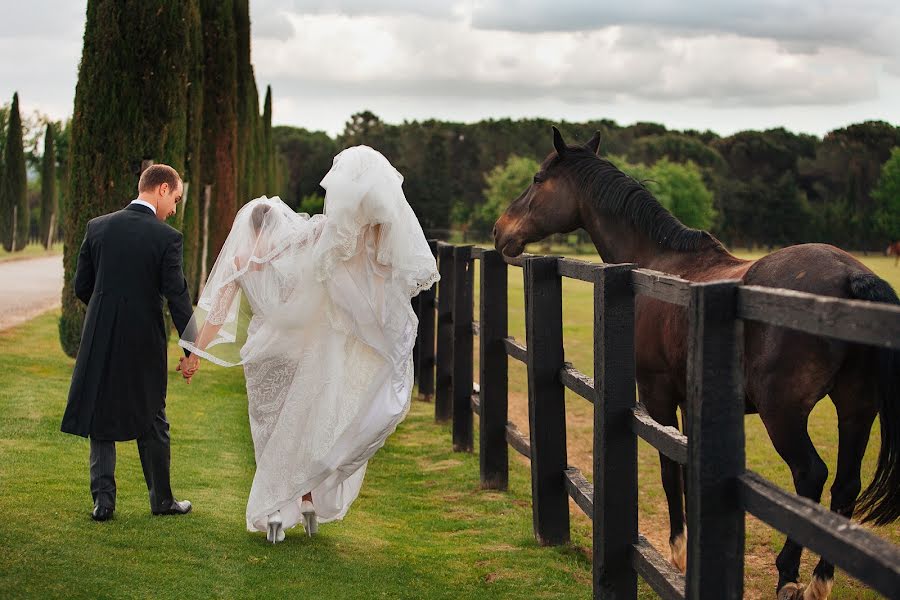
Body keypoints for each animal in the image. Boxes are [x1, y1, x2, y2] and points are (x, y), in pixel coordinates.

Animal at [492, 127, 900, 600]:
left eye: (537, 179)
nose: (500, 231)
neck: (656, 266)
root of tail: (850, 277)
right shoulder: (688, 399)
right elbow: (686, 468)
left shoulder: (656, 394)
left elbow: (670, 469)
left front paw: (679, 552)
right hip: (856, 409)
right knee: (845, 486)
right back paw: (820, 580)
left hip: (784, 413)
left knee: (810, 477)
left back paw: (788, 575)